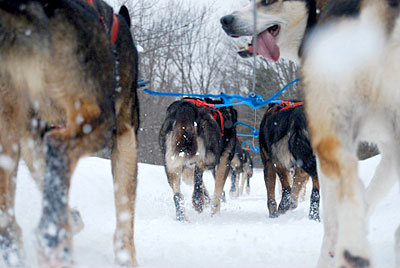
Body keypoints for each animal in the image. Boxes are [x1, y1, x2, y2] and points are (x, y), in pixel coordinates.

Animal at [0, 0, 139, 266]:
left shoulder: (30, 133)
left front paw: (71, 218)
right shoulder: (125, 136)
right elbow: (125, 212)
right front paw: (126, 257)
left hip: (10, 132)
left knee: (7, 219)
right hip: (97, 118)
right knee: (58, 146)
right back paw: (53, 239)